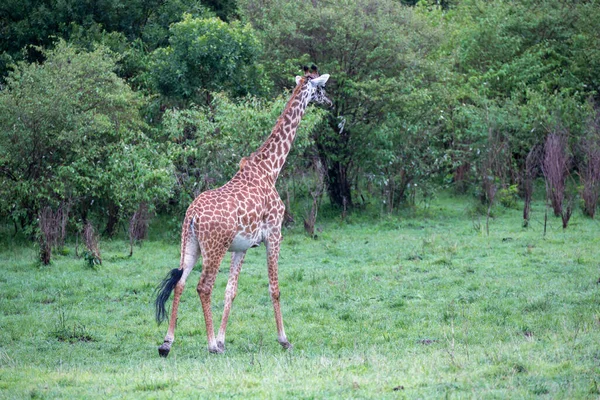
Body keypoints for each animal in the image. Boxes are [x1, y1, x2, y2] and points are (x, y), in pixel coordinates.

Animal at [156, 65, 332, 356]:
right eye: (322, 88)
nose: (330, 102)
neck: (270, 169)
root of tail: (192, 216)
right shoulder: (274, 234)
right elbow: (275, 288)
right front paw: (284, 339)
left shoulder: (242, 247)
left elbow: (231, 291)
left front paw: (223, 339)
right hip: (214, 248)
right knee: (203, 287)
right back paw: (209, 345)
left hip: (189, 245)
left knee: (180, 283)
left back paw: (167, 343)